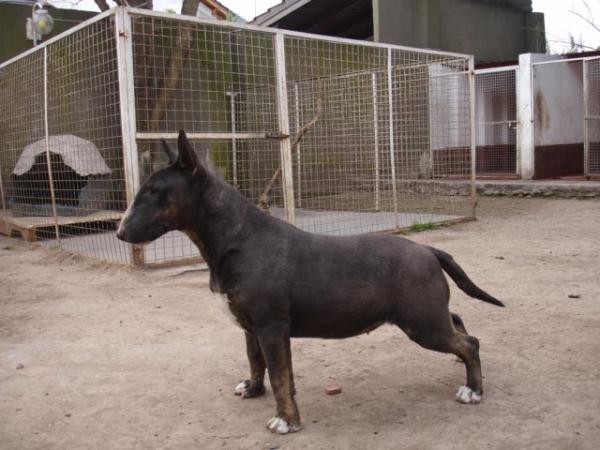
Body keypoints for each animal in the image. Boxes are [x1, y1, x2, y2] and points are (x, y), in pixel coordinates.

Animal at [116, 132, 502, 434]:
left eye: (154, 190)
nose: (119, 232)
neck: (236, 237)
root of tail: (428, 249)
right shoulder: (251, 327)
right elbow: (256, 361)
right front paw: (252, 388)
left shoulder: (272, 328)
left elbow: (280, 375)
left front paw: (285, 421)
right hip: (429, 315)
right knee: (460, 324)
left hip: (422, 323)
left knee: (468, 342)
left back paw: (472, 390)